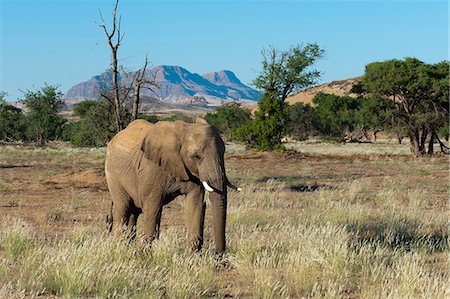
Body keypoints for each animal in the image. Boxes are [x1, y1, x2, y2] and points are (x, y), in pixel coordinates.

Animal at [106, 118, 239, 254]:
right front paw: (144, 255)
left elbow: (195, 203)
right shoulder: (152, 168)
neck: (184, 131)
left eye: (223, 153)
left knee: (134, 212)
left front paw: (192, 255)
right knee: (123, 207)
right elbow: (152, 206)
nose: (218, 255)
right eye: (196, 156)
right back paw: (118, 247)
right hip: (113, 173)